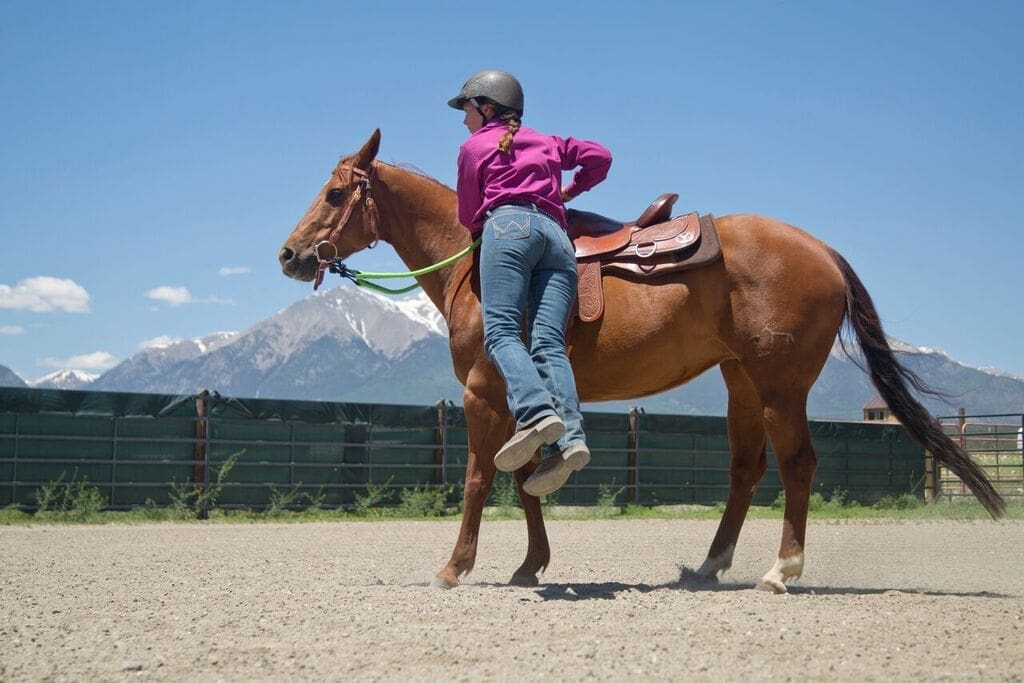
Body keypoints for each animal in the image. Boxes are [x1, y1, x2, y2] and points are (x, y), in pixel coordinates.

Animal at [276, 132, 1003, 593]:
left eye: (335, 195)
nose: (289, 254)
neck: (474, 261)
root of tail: (822, 250)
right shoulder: (520, 399)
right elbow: (528, 478)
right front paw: (530, 565)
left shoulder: (485, 391)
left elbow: (482, 478)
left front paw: (455, 568)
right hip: (741, 381)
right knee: (746, 470)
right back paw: (709, 566)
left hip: (780, 385)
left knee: (797, 465)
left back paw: (781, 571)